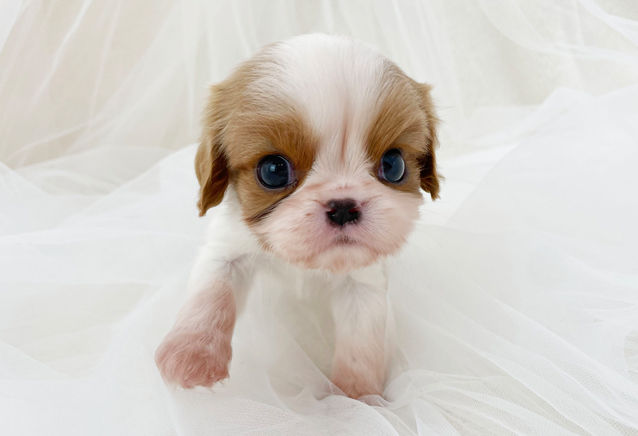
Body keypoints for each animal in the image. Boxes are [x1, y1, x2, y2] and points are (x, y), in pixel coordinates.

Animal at [155, 34, 440, 399]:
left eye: (393, 165)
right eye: (273, 171)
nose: (343, 206)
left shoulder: (364, 284)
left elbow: (361, 344)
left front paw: (356, 397)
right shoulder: (227, 248)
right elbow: (211, 293)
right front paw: (191, 352)